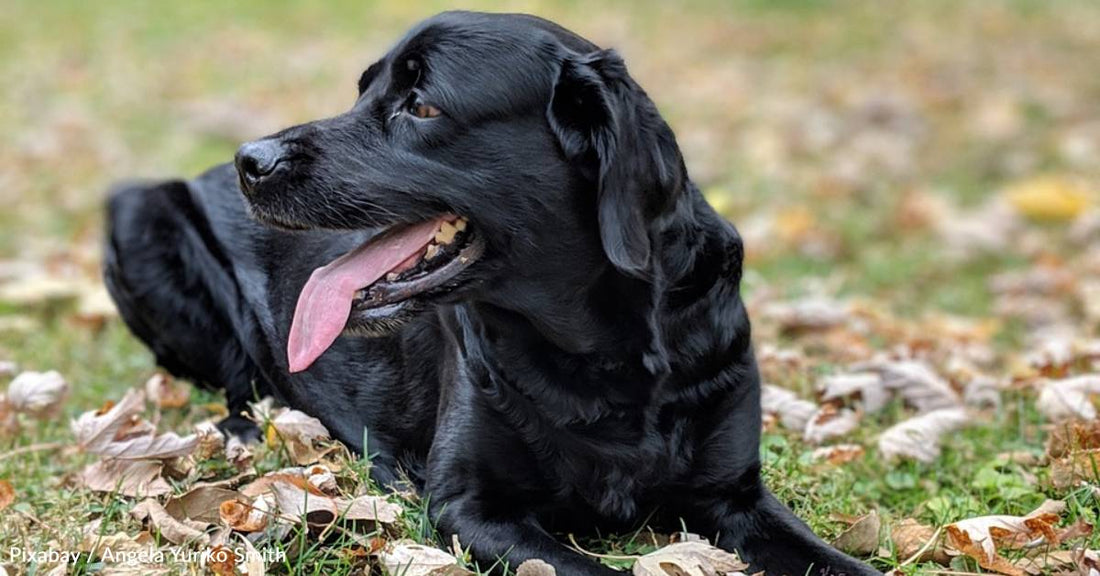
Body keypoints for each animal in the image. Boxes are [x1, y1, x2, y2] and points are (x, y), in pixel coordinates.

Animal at [103, 10, 875, 576]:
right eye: (364, 91)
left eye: (420, 105)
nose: (250, 161)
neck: (605, 356)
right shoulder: (472, 507)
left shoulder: (735, 495)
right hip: (138, 211)